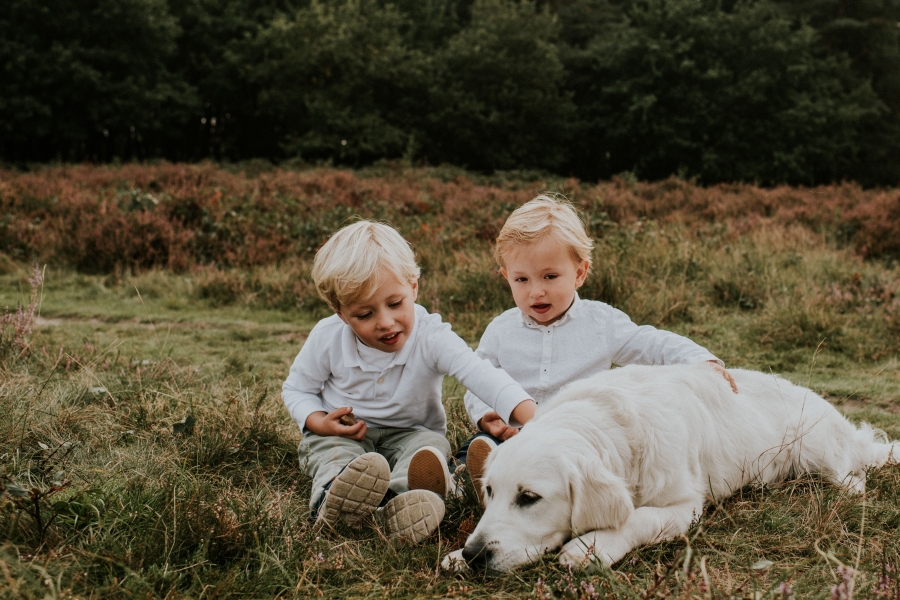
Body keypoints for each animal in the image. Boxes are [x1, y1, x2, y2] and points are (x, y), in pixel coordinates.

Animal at [444, 360, 900, 572]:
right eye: (489, 491)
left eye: (529, 497)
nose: (474, 554)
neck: (611, 423)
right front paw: (453, 555)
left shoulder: (687, 506)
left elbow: (637, 517)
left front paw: (592, 545)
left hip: (817, 445)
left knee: (851, 471)